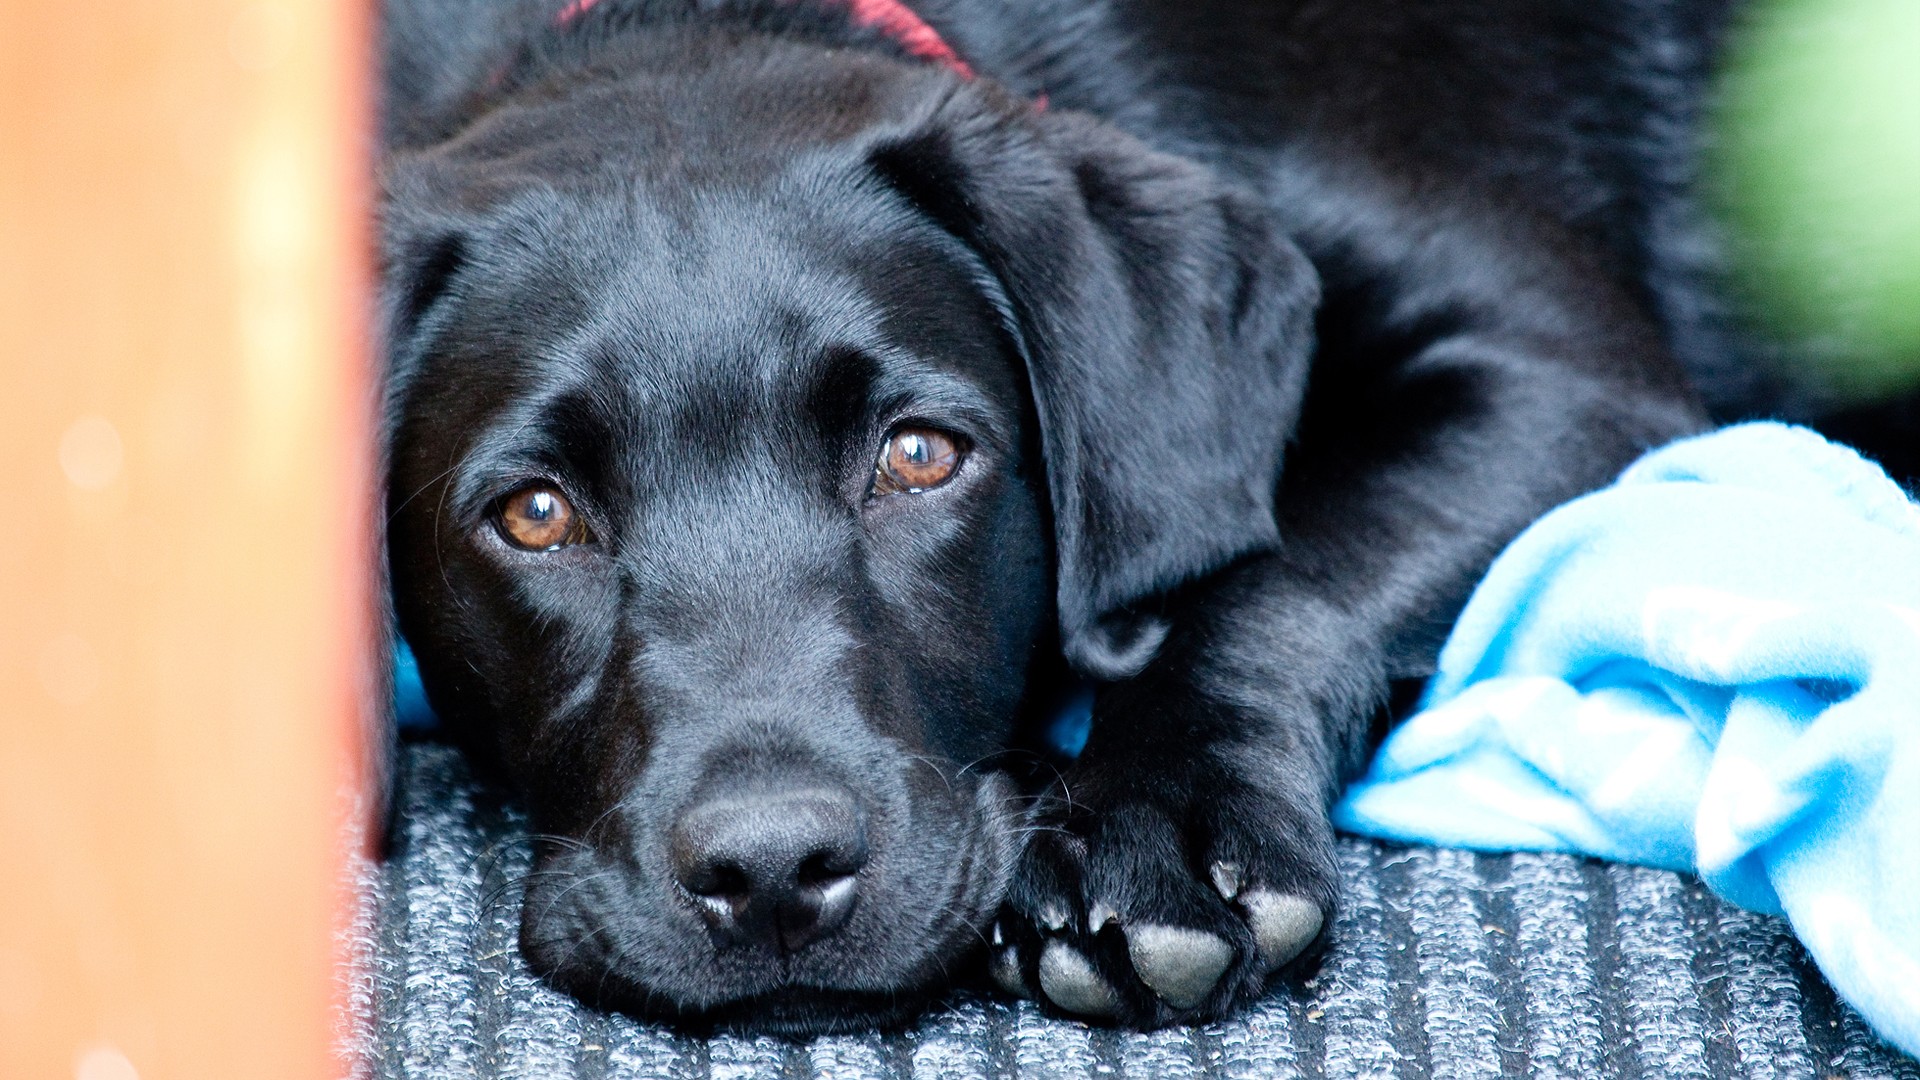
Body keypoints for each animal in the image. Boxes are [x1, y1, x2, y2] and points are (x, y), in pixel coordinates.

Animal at [382, 0, 1735, 1037]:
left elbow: (1275, 568)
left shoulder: (1560, 365)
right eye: (536, 515)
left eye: (920, 456)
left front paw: (1154, 817)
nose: (772, 875)